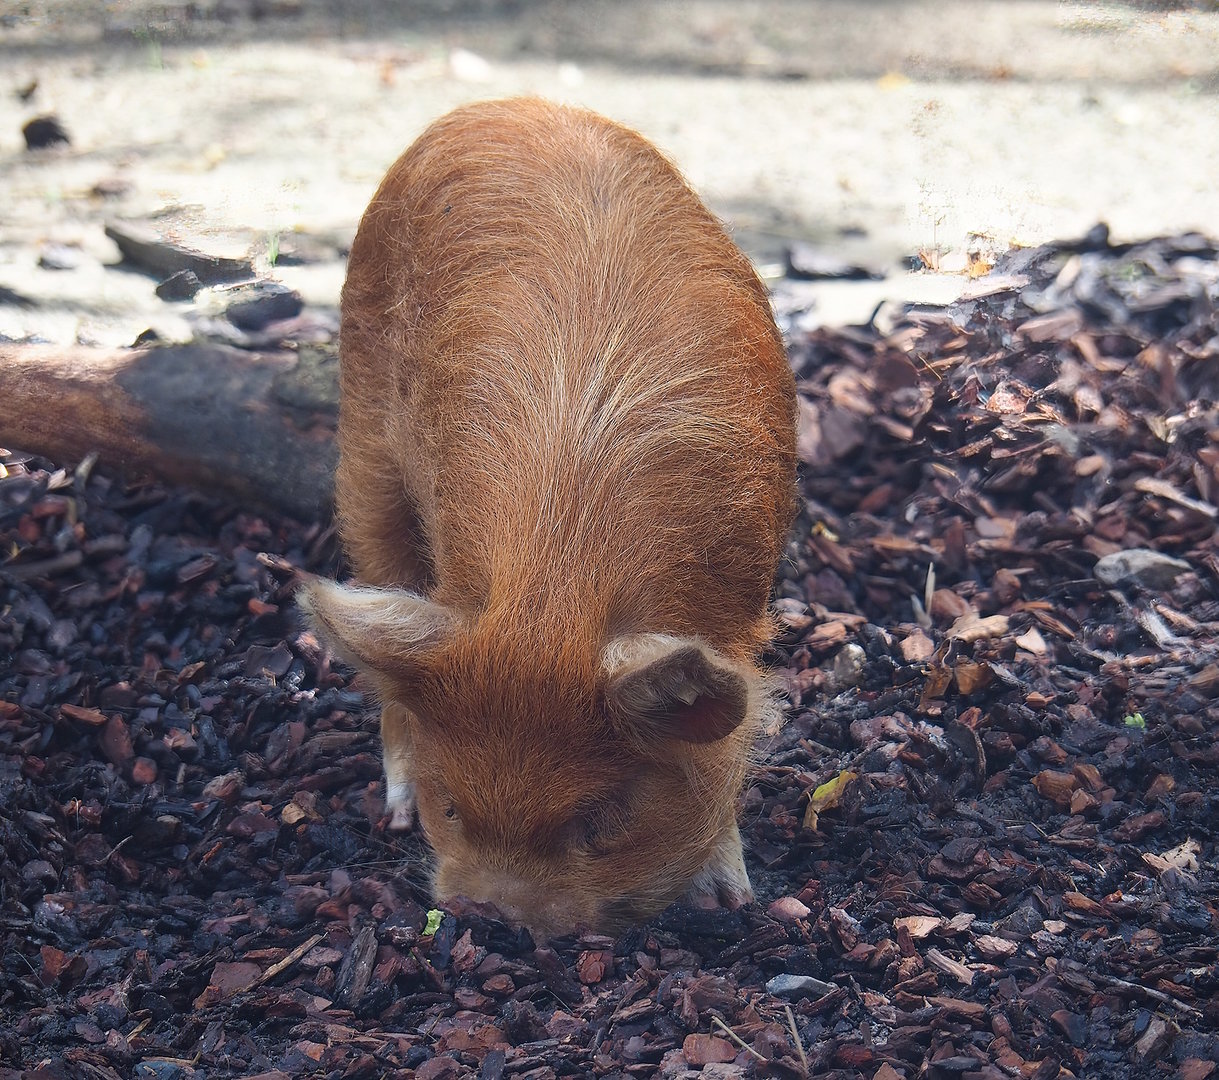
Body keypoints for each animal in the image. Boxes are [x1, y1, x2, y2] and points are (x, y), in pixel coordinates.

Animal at [299, 97, 797, 936]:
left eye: (596, 822)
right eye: (452, 805)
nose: (486, 911)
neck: (562, 579)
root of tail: (505, 104)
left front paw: (731, 900)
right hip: (362, 447)